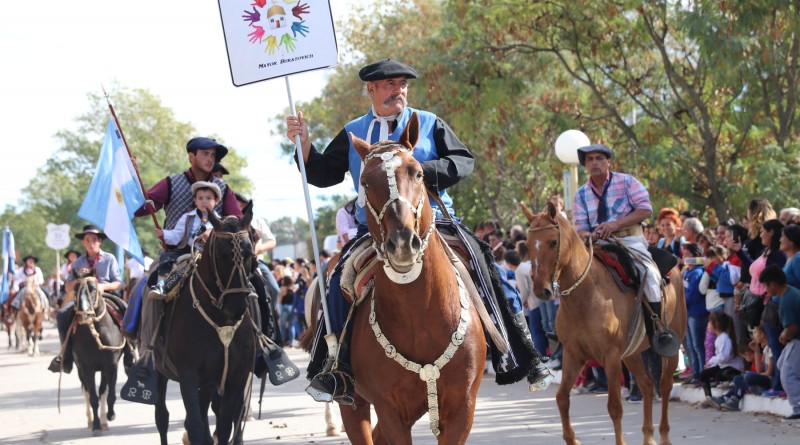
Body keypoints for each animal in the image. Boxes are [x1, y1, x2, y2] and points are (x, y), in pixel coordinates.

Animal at [70, 274, 127, 434]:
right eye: (75, 290)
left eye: (93, 289)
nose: (85, 315)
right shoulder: (86, 369)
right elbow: (93, 398)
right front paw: (95, 425)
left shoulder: (111, 366)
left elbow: (109, 394)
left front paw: (110, 415)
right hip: (80, 371)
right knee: (86, 391)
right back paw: (91, 421)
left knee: (103, 390)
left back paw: (104, 421)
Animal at [153, 208, 257, 445]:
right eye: (221, 255)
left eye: (249, 254)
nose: (237, 306)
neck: (221, 319)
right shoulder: (189, 375)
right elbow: (196, 426)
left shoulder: (236, 376)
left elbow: (225, 426)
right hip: (159, 370)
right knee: (162, 416)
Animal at [333, 113, 488, 444]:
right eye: (366, 182)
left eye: (417, 173)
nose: (403, 242)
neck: (421, 313)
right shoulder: (391, 411)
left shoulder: (463, 408)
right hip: (354, 404)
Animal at [521, 201, 687, 445]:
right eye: (528, 245)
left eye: (553, 242)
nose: (542, 290)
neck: (586, 296)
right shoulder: (574, 354)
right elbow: (562, 398)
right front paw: (572, 439)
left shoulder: (611, 357)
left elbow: (615, 407)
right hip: (632, 353)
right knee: (647, 384)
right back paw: (648, 435)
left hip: (671, 346)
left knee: (664, 386)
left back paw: (664, 435)